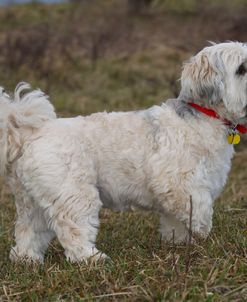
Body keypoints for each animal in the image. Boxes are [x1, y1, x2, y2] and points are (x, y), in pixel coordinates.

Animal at [0, 41, 247, 264]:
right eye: (241, 68)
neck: (205, 117)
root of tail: (30, 133)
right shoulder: (180, 182)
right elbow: (200, 207)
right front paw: (202, 230)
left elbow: (176, 221)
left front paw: (178, 243)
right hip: (73, 194)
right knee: (73, 229)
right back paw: (90, 258)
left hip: (33, 200)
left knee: (29, 231)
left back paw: (27, 259)